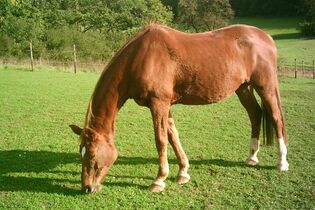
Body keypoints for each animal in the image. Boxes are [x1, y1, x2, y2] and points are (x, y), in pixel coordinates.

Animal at [70, 23, 290, 194]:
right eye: (81, 152)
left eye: (91, 155)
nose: (87, 188)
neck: (141, 57)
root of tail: (266, 37)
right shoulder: (165, 105)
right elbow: (173, 135)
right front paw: (183, 172)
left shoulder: (159, 103)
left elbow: (161, 140)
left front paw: (159, 180)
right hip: (243, 88)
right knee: (255, 114)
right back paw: (252, 157)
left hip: (266, 87)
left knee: (276, 118)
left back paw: (282, 162)